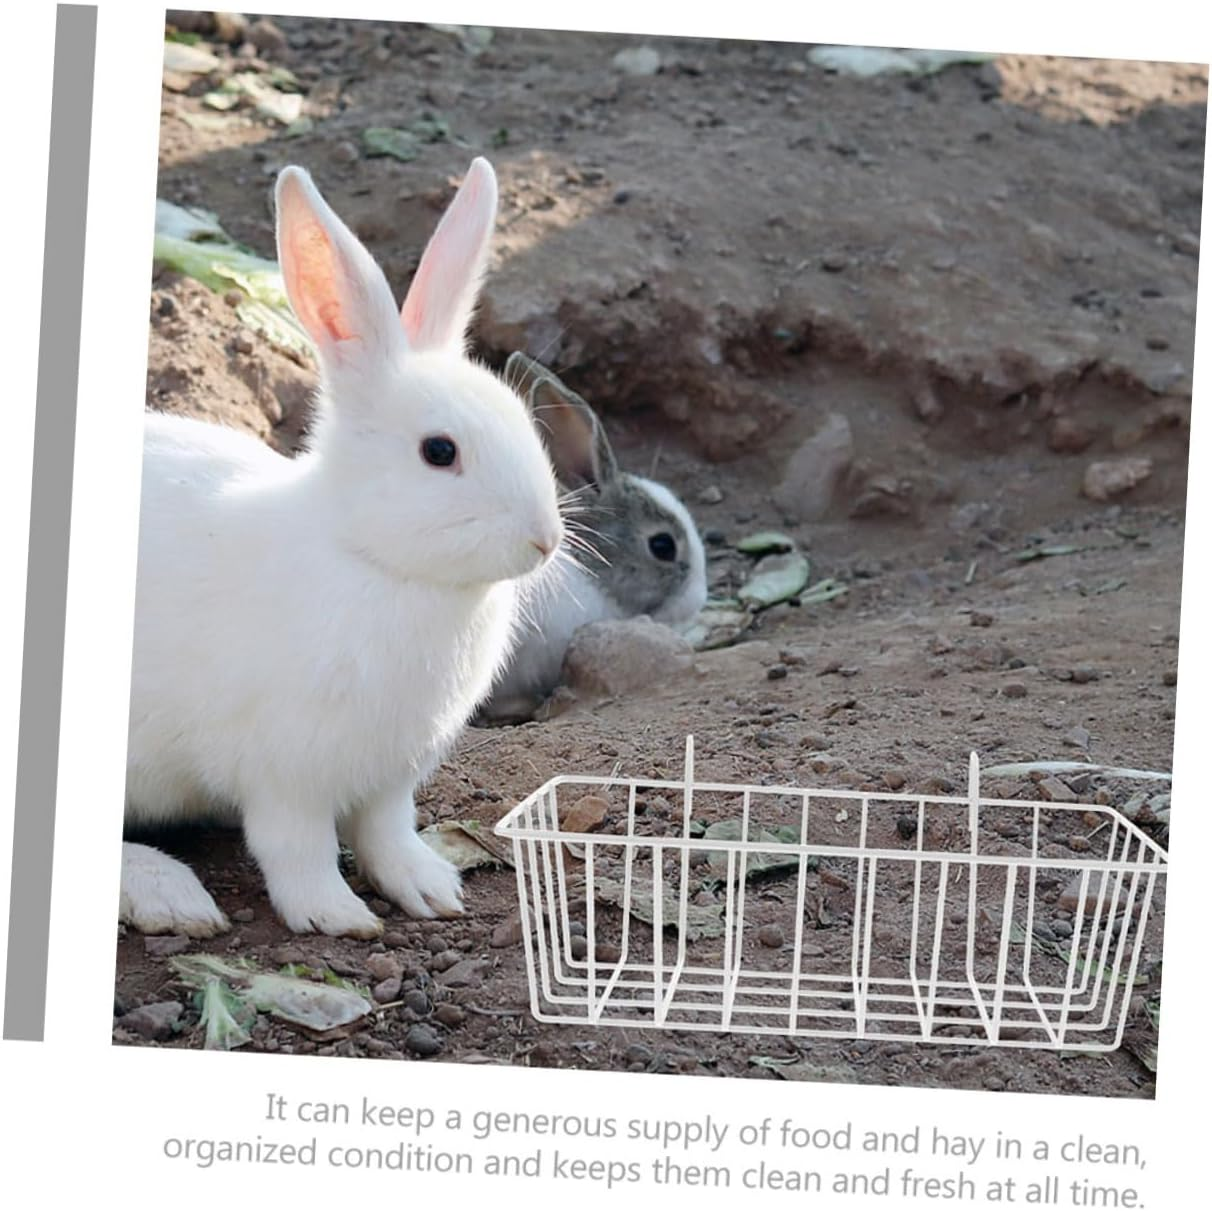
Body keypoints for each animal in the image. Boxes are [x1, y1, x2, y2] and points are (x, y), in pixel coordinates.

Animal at [120, 158, 565, 939]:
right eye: (439, 451)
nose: (544, 540)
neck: (370, 558)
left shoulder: (391, 776)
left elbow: (387, 833)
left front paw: (431, 890)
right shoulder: (284, 773)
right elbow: (298, 847)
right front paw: (337, 915)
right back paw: (171, 896)